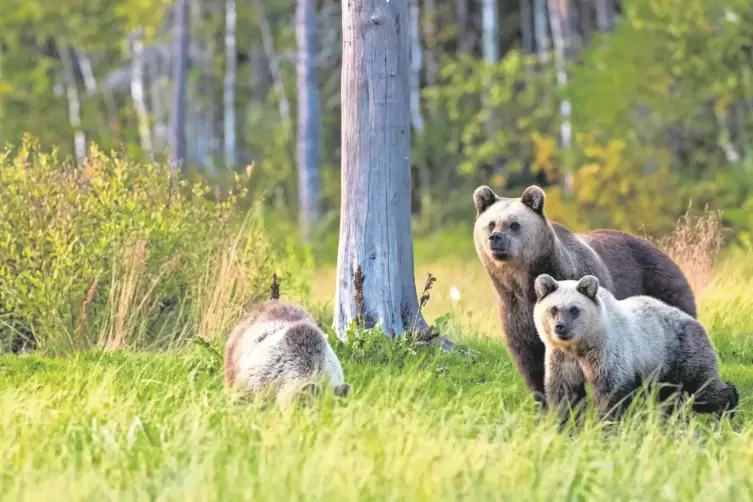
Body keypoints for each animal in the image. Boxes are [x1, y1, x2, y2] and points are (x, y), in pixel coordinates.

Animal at [472, 184, 696, 404]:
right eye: (491, 224)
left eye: (514, 224)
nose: (496, 238)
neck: (525, 284)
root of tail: (662, 251)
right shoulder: (515, 311)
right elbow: (531, 362)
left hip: (663, 291)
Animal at [532, 272, 736, 422]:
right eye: (554, 309)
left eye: (574, 309)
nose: (560, 327)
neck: (581, 345)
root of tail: (694, 321)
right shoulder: (563, 359)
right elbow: (565, 393)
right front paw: (564, 422)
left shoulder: (607, 353)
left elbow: (611, 392)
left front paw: (607, 424)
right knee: (671, 399)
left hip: (681, 352)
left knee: (701, 388)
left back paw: (728, 407)